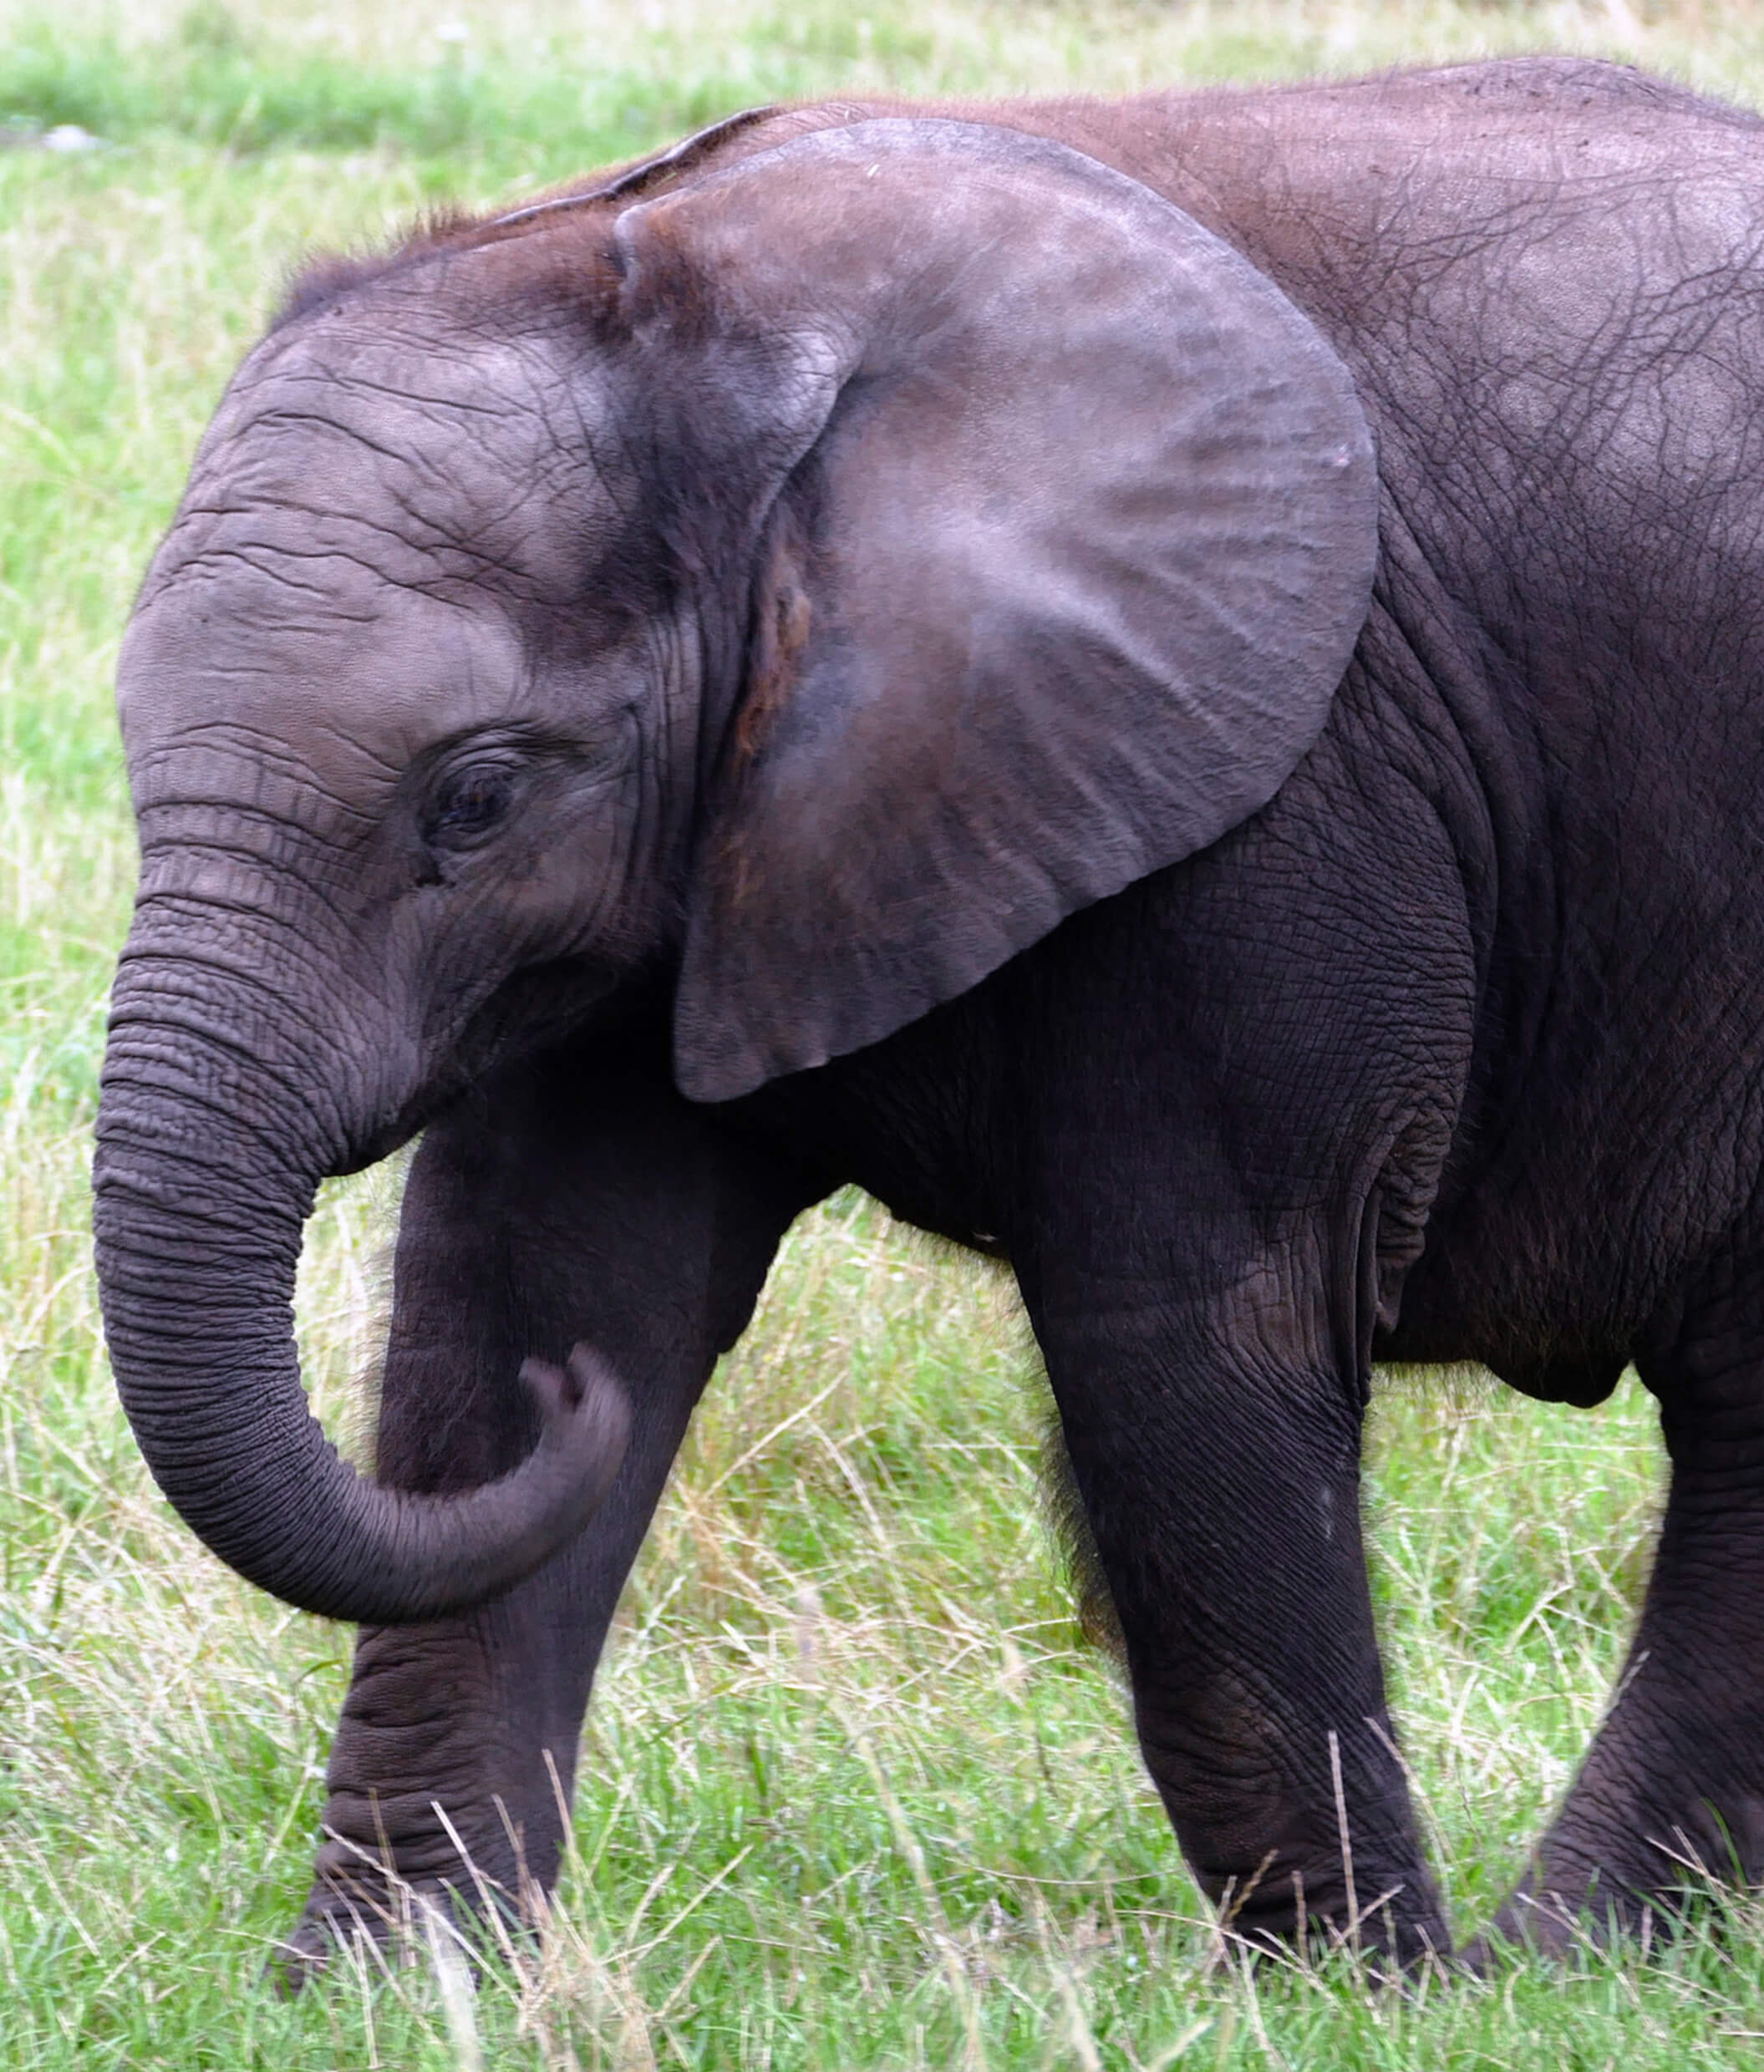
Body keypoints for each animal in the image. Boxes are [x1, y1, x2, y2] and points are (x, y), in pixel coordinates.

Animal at [93, 53, 1764, 1969]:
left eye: (476, 797)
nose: (571, 1409)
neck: (704, 296)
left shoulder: (1281, 787)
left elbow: (1190, 1329)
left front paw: (1354, 1988)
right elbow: (534, 1275)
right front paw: (396, 1987)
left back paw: (1534, 1966)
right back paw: (1567, 1962)